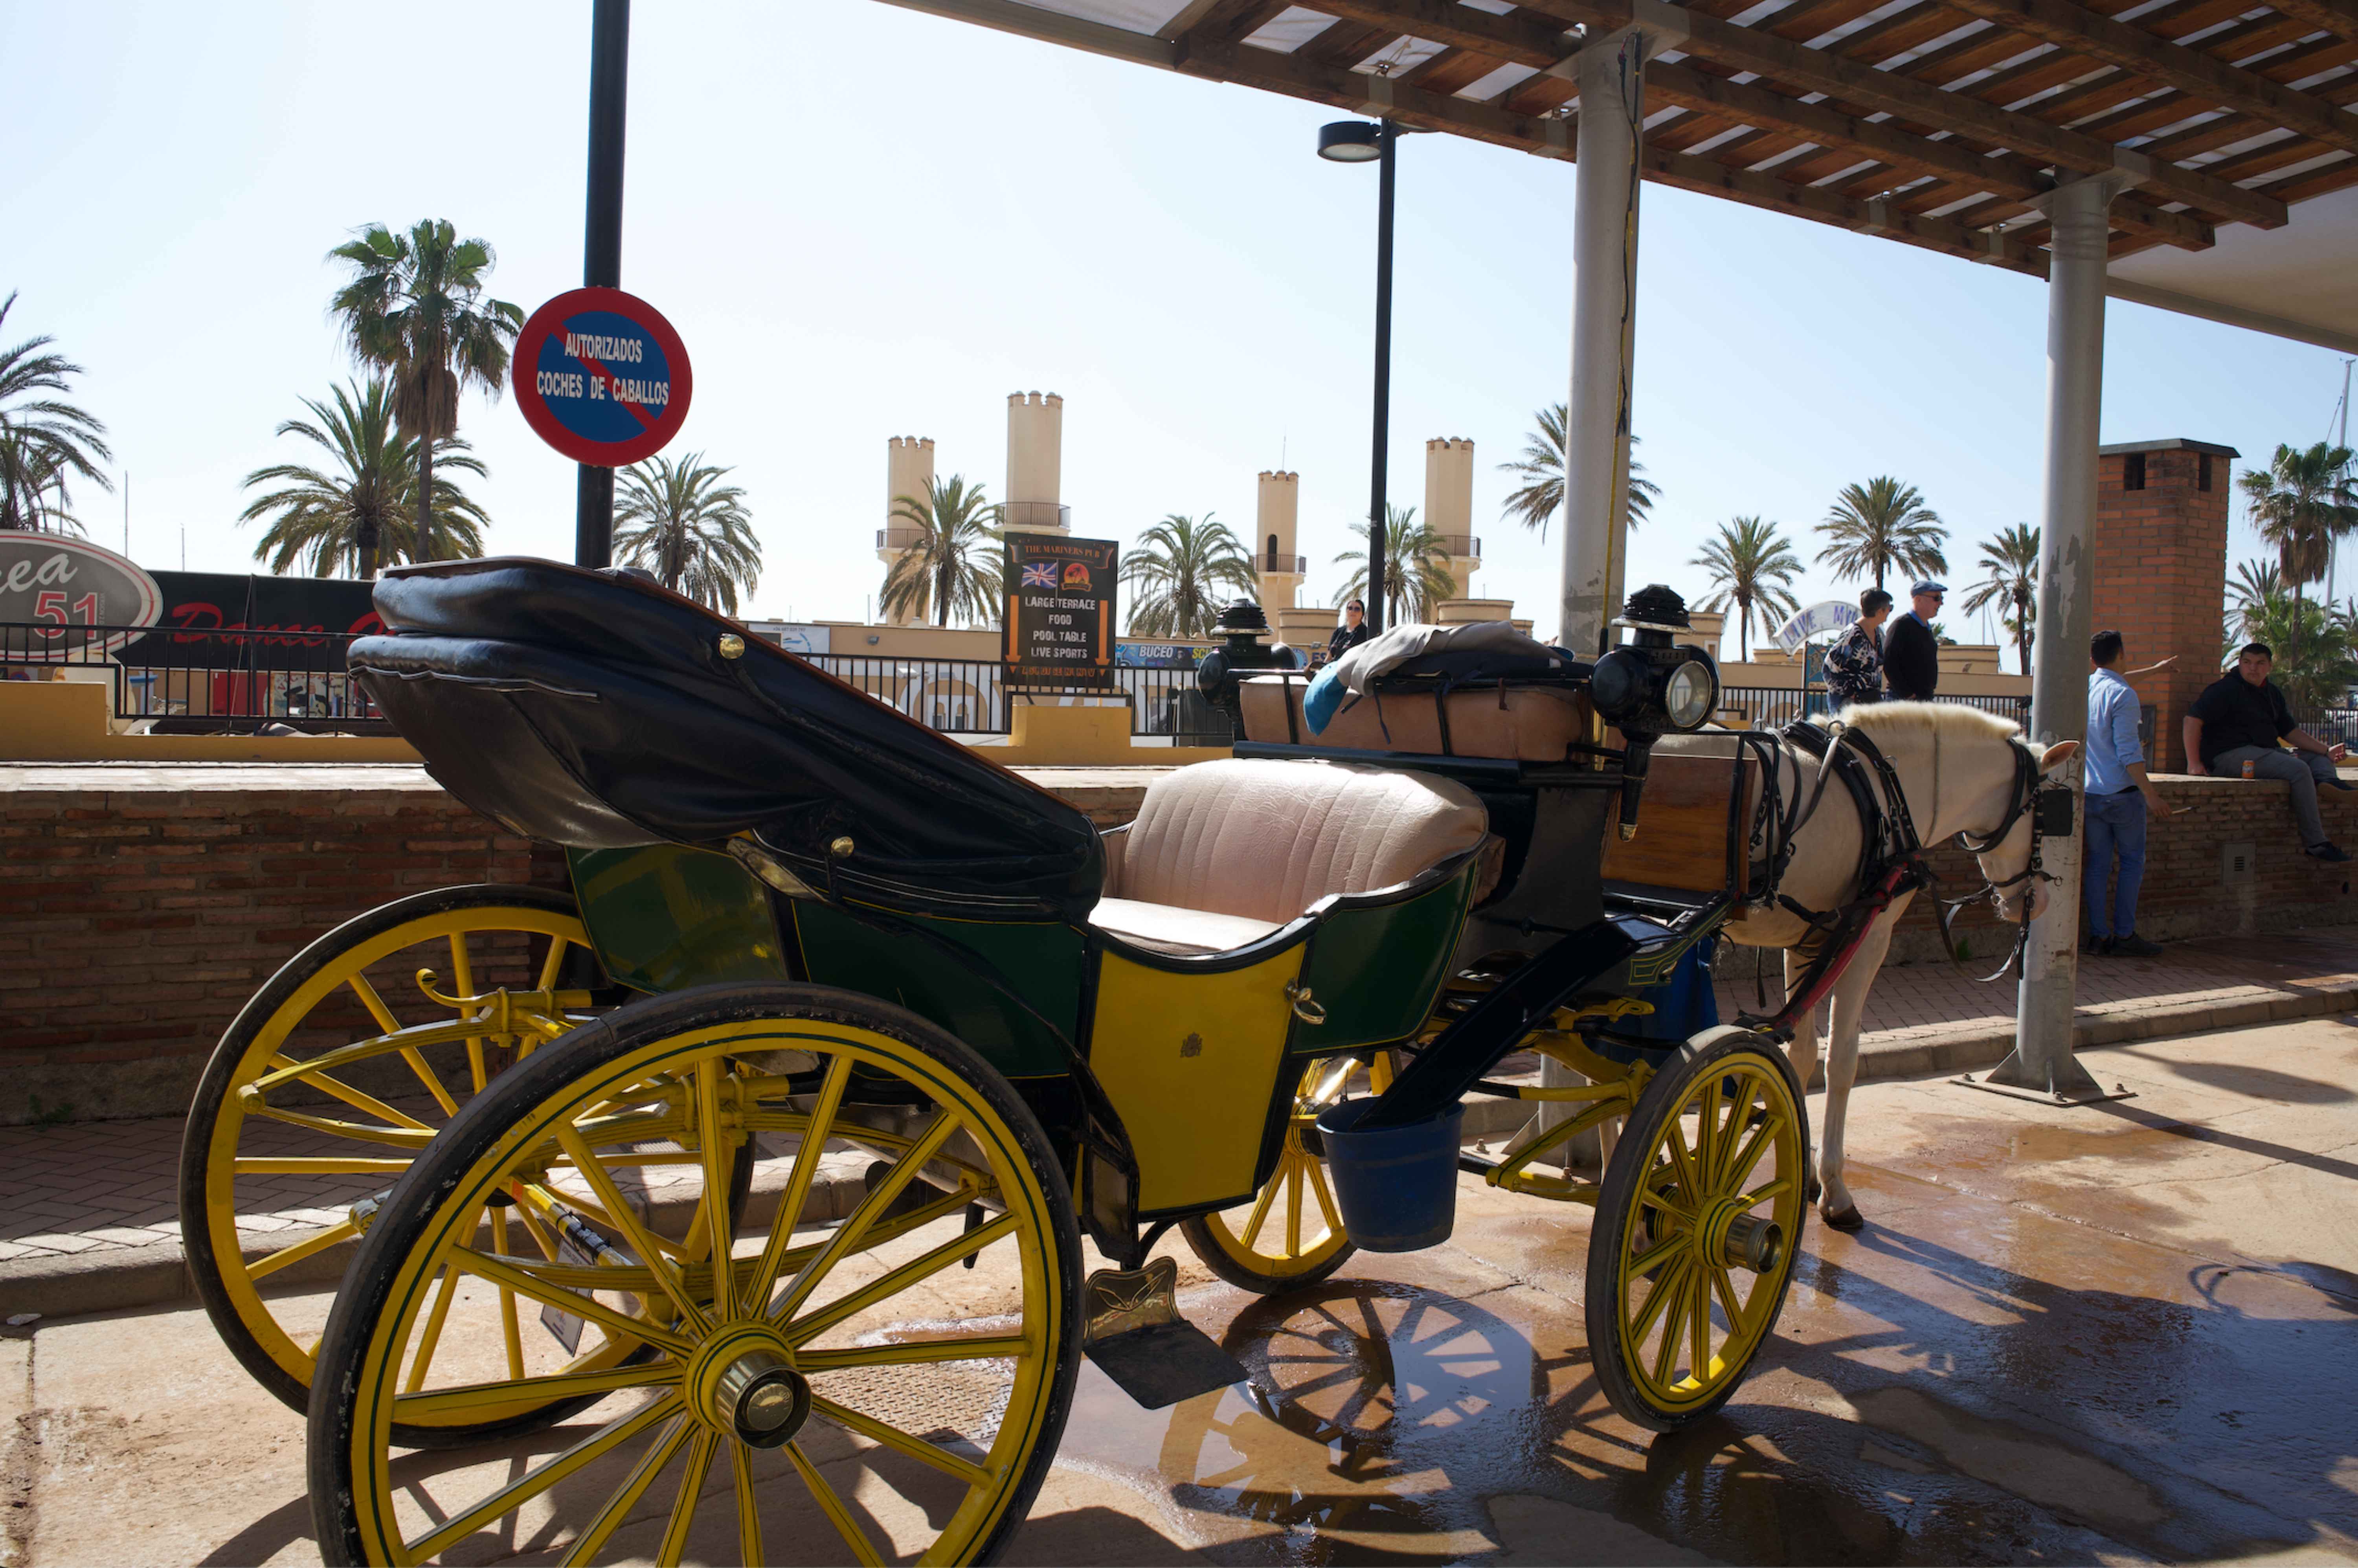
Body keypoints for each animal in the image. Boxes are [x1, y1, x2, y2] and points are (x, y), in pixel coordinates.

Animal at [1726, 703, 2075, 1226]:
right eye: (2044, 811)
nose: (2042, 900)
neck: (1882, 786)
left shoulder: (1807, 940)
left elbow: (1803, 1054)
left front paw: (1805, 1170)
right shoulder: (1869, 938)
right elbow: (1843, 1059)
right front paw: (1835, 1187)